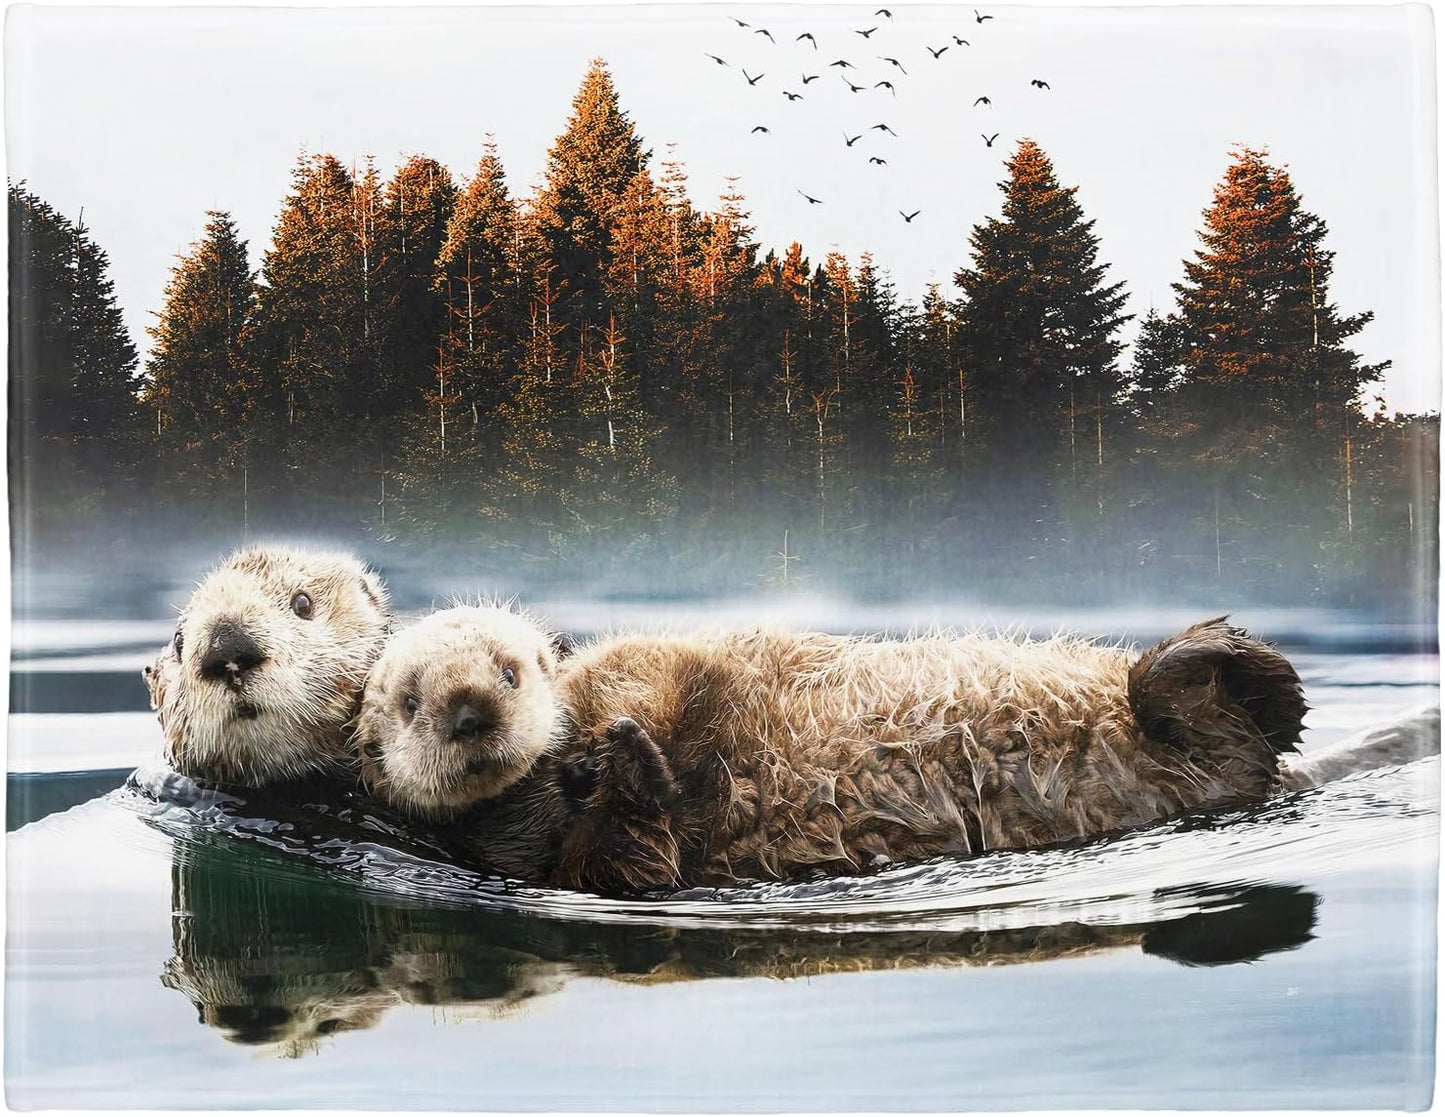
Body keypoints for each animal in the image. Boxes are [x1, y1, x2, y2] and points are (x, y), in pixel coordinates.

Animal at [357, 607, 1306, 893]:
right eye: (409, 701)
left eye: (509, 668)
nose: (472, 710)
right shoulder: (558, 865)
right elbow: (636, 857)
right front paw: (627, 765)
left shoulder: (651, 663)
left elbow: (664, 673)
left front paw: (614, 740)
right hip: (1202, 761)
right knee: (1228, 741)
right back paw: (1223, 667)